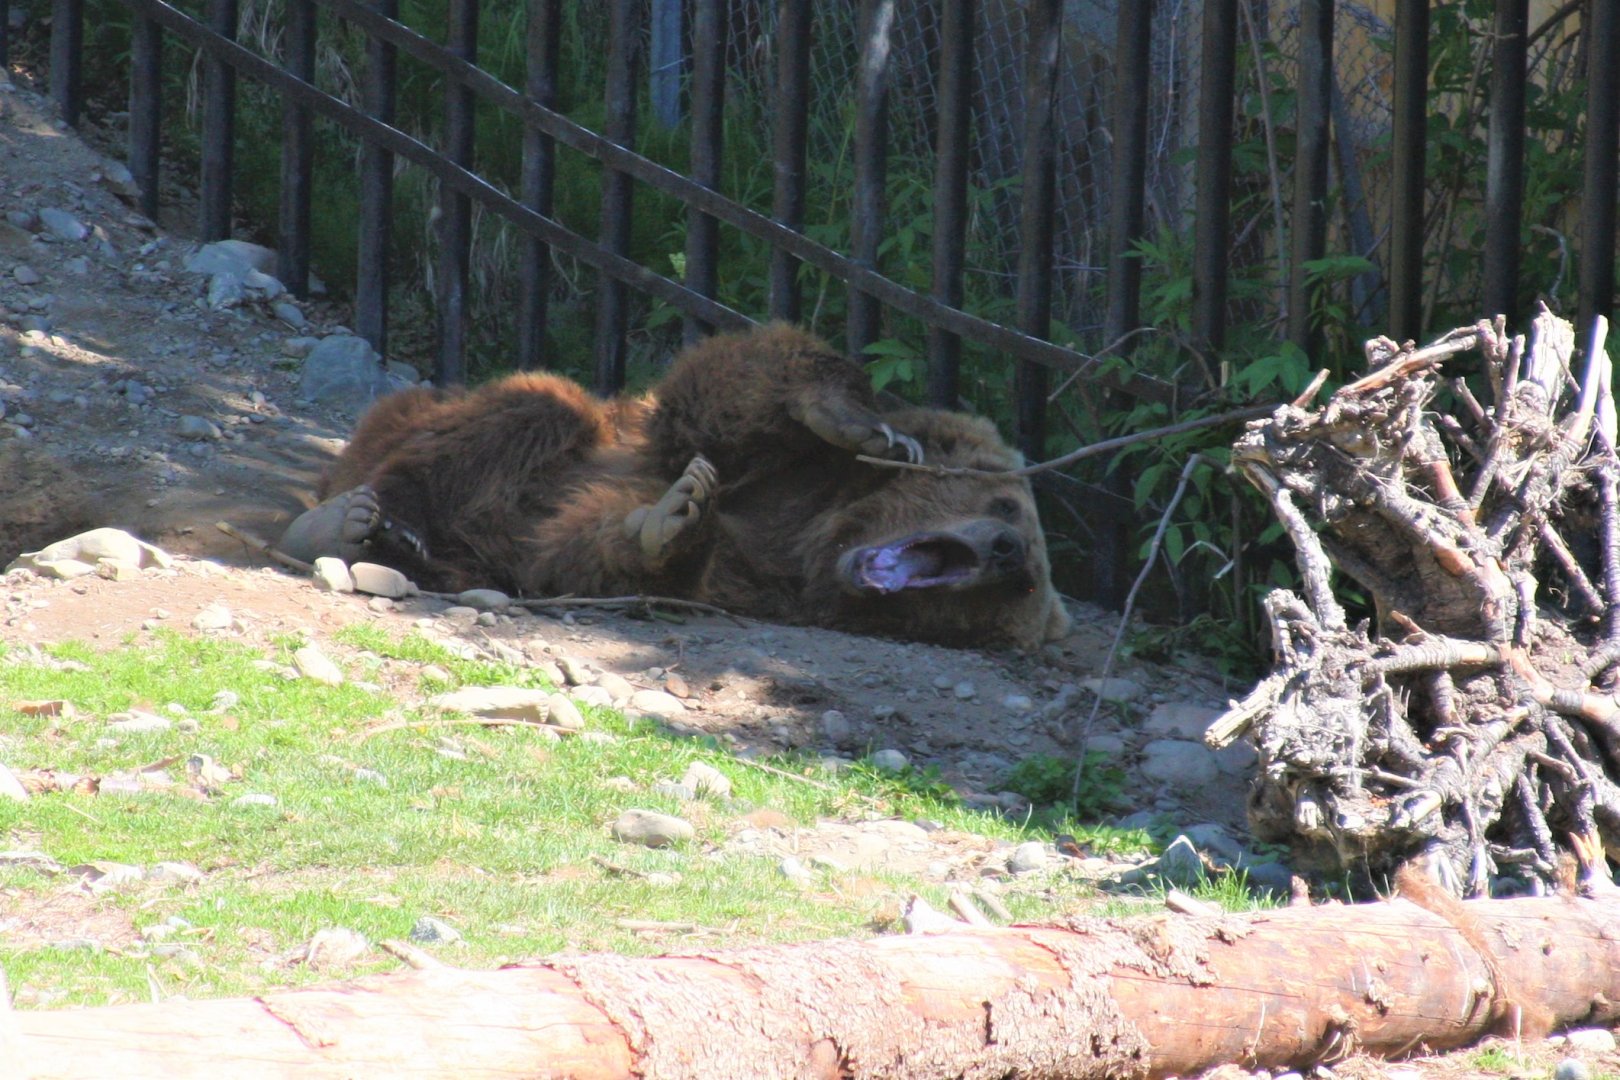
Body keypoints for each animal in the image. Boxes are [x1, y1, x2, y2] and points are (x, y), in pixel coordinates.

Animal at [277, 324, 1071, 649]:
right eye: (1005, 503)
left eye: (1023, 585)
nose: (1006, 549)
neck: (824, 533)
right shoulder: (773, 470)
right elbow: (724, 394)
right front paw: (860, 421)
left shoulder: (758, 579)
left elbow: (594, 550)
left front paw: (674, 521)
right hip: (419, 423)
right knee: (527, 408)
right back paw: (346, 522)